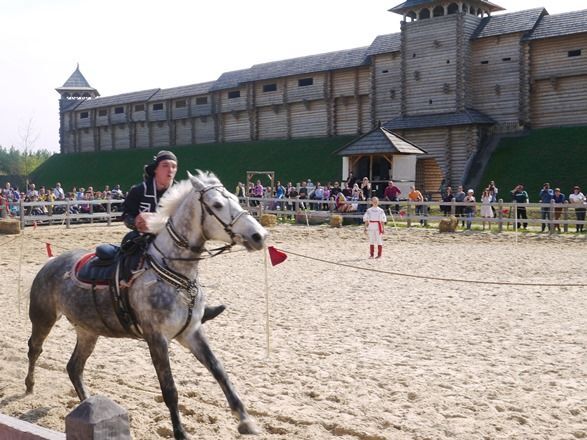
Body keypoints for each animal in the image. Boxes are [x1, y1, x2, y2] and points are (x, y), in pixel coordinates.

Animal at [25, 171, 268, 436]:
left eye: (236, 198)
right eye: (216, 205)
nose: (259, 236)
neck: (174, 273)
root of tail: (50, 263)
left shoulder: (191, 333)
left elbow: (219, 371)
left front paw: (245, 420)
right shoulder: (156, 338)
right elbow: (169, 389)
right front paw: (180, 433)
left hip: (88, 331)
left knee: (74, 367)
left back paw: (87, 403)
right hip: (43, 318)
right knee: (35, 349)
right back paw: (29, 386)